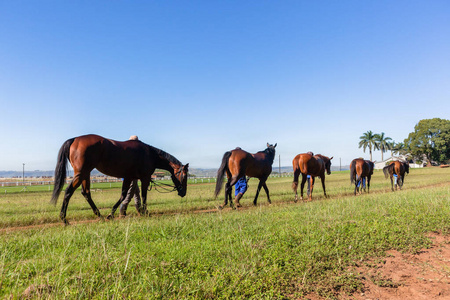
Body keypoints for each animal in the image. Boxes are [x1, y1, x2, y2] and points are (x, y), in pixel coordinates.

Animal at [51, 135, 188, 224]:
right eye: (184, 175)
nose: (183, 192)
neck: (150, 154)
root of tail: (74, 139)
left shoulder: (128, 177)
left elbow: (123, 196)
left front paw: (111, 214)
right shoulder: (145, 178)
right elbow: (143, 196)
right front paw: (145, 212)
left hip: (85, 174)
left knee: (86, 193)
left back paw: (100, 216)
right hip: (81, 174)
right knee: (69, 192)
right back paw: (64, 219)